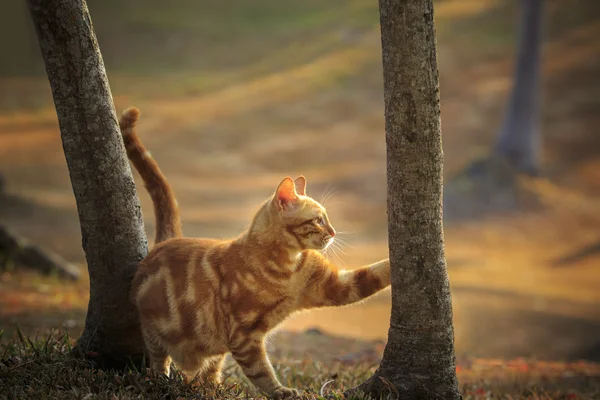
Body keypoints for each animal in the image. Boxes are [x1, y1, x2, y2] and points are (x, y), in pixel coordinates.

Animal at [120, 107, 394, 400]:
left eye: (326, 218)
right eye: (319, 220)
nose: (333, 232)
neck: (288, 265)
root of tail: (166, 242)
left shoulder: (336, 286)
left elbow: (374, 273)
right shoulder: (244, 335)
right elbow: (261, 372)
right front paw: (282, 392)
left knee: (209, 372)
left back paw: (211, 389)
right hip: (155, 334)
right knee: (159, 361)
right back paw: (163, 382)